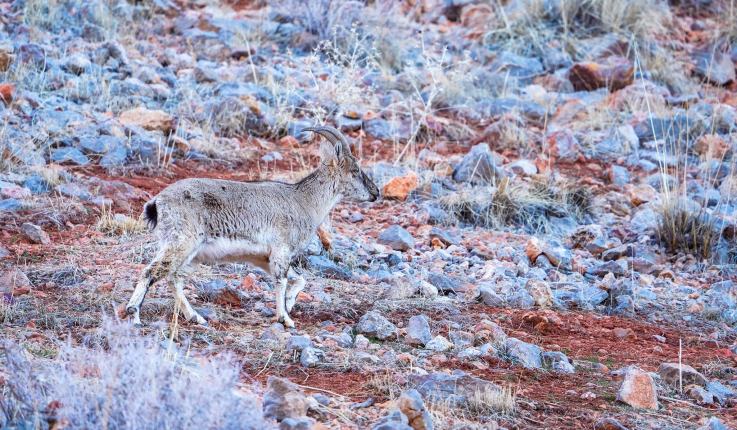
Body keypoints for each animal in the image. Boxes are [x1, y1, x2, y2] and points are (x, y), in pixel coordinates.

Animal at [126, 126, 376, 328]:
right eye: (355, 170)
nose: (375, 192)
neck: (305, 201)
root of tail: (157, 202)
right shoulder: (281, 251)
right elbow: (281, 281)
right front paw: (285, 319)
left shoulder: (264, 259)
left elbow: (299, 279)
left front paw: (289, 305)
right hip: (181, 243)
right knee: (151, 272)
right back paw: (134, 316)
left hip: (192, 254)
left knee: (173, 278)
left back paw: (196, 317)